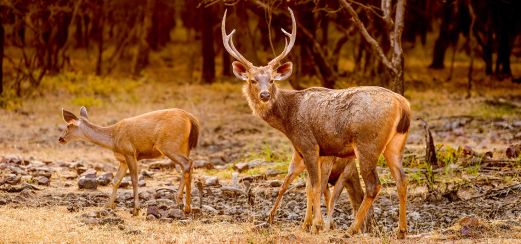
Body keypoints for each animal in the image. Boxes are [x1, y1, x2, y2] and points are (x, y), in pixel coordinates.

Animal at [59, 107, 199, 215]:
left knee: (187, 164)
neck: (113, 139)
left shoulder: (130, 152)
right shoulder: (123, 160)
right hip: (184, 147)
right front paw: (108, 205)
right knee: (187, 166)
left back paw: (187, 207)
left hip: (168, 145)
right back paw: (179, 202)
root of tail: (191, 118)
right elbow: (116, 180)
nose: (60, 138)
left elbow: (134, 179)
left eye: (69, 125)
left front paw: (136, 209)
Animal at [219, 8, 410, 238]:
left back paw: (351, 229)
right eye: (252, 80)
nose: (265, 95)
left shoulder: (308, 144)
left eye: (272, 80)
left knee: (374, 185)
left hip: (368, 143)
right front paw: (307, 224)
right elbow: (311, 187)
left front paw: (317, 225)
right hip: (395, 144)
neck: (288, 119)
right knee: (402, 179)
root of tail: (402, 104)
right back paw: (401, 231)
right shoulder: (319, 151)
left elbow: (316, 186)